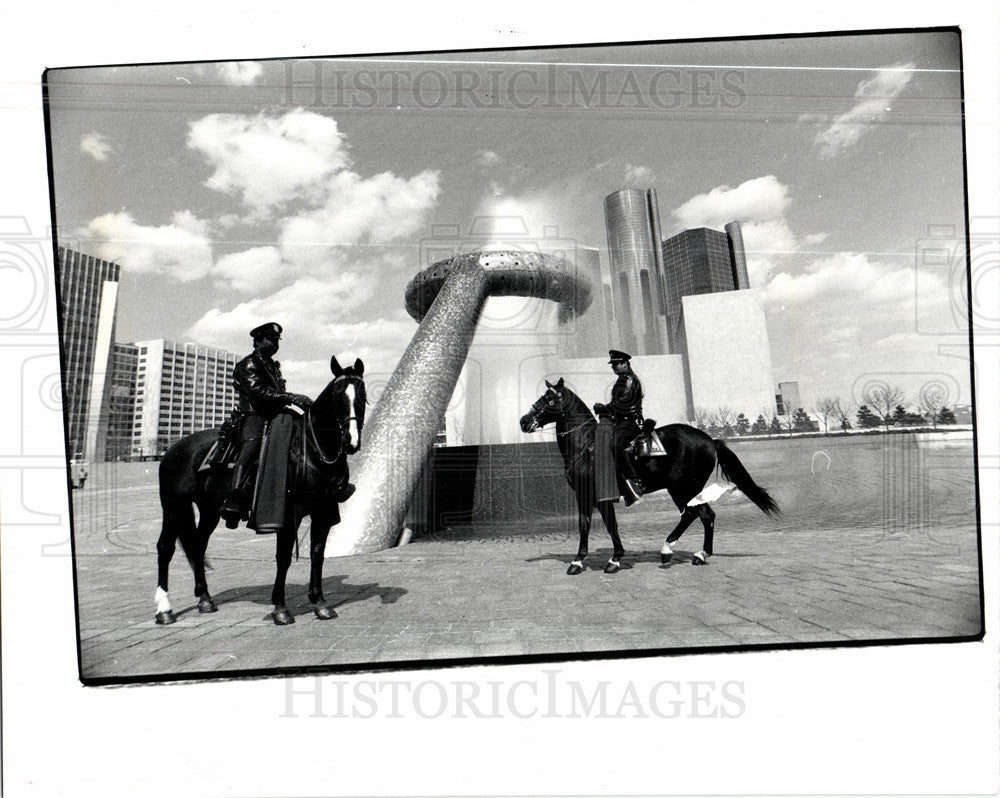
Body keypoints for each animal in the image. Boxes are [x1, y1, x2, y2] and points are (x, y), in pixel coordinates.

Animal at [152, 356, 364, 624]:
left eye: (362, 393)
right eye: (337, 395)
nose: (350, 441)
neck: (311, 449)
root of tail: (173, 449)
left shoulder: (322, 513)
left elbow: (317, 555)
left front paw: (320, 603)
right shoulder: (287, 515)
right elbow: (283, 558)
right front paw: (281, 609)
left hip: (209, 510)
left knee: (198, 545)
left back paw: (205, 599)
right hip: (173, 507)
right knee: (165, 548)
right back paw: (164, 609)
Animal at [524, 382, 780, 576]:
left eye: (550, 400)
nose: (524, 421)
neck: (586, 446)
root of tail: (710, 440)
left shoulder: (598, 495)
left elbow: (605, 525)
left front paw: (611, 560)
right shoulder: (586, 495)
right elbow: (587, 524)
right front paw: (581, 561)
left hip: (682, 488)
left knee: (693, 514)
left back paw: (671, 550)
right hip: (685, 489)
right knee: (704, 514)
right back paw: (698, 554)